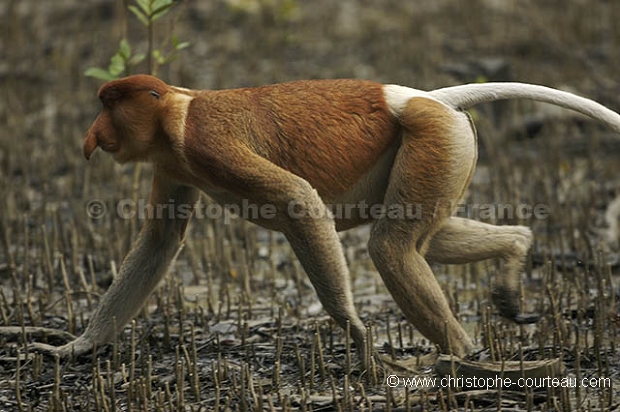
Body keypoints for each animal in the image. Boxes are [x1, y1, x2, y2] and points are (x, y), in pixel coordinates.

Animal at [35, 75, 620, 364]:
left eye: (109, 106)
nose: (91, 135)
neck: (175, 111)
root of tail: (420, 97)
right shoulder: (173, 163)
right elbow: (159, 240)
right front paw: (73, 348)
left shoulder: (206, 142)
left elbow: (299, 200)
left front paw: (357, 334)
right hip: (442, 146)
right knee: (424, 240)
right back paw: (515, 256)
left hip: (433, 138)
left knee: (391, 247)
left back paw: (462, 359)